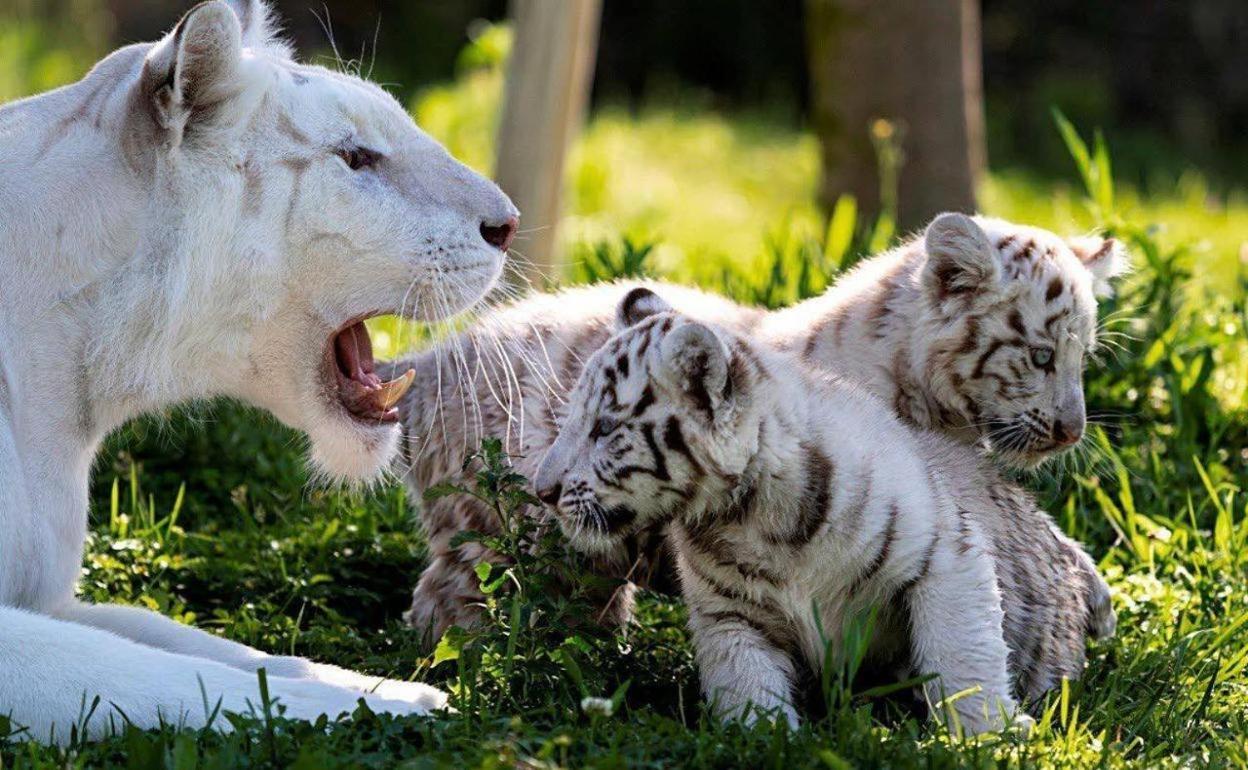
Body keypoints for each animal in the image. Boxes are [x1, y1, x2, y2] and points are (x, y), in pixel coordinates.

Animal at [0, 0, 516, 743]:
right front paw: (387, 709)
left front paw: (383, 686)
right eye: (356, 158)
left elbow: (194, 641)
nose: (509, 223)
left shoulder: (49, 598)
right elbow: (150, 676)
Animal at [534, 290, 1113, 728]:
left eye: (605, 429)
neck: (753, 516)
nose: (542, 489)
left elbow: (962, 657)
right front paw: (765, 741)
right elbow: (747, 687)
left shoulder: (946, 555)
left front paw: (989, 738)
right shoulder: (730, 614)